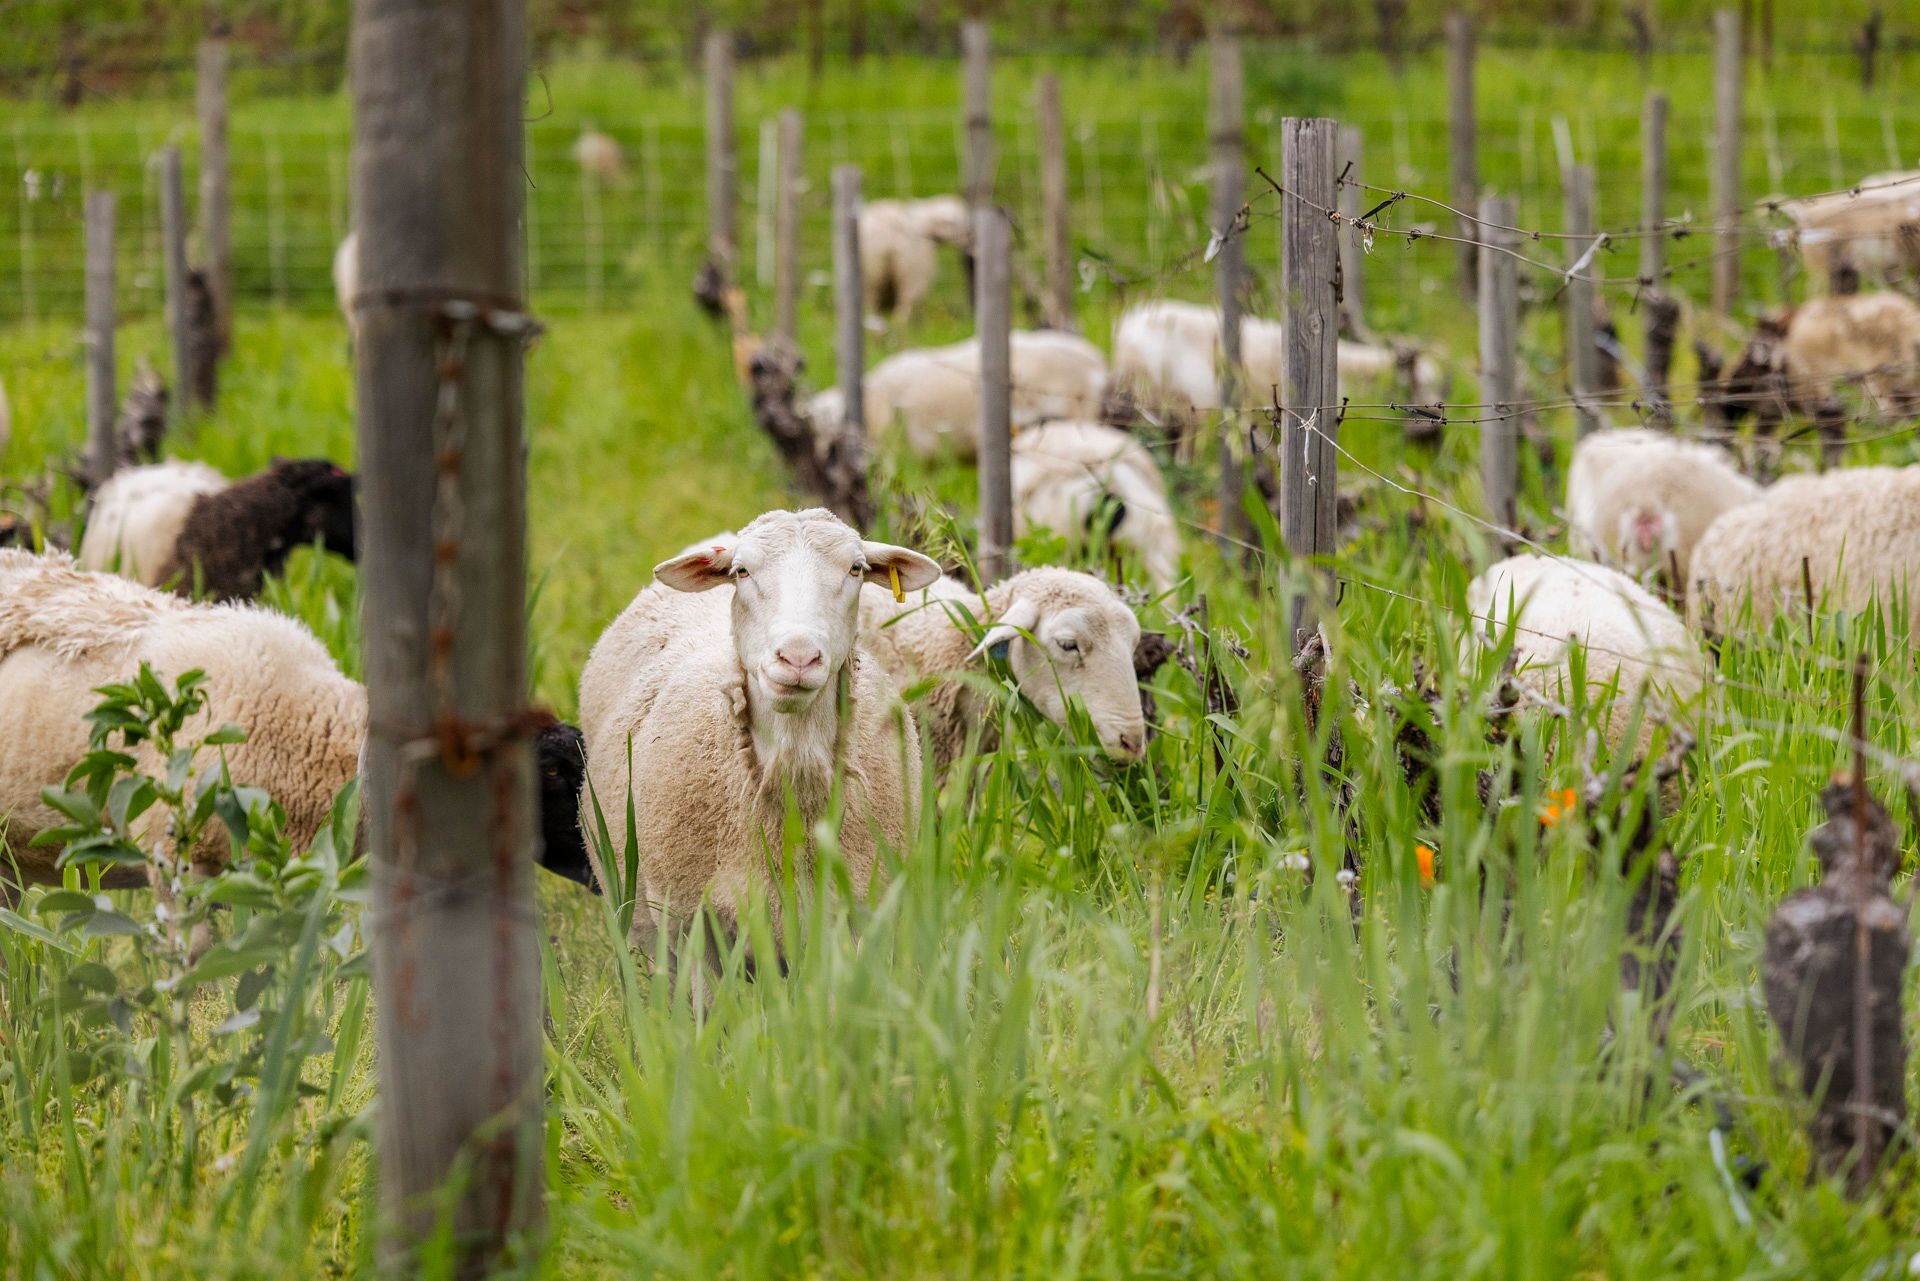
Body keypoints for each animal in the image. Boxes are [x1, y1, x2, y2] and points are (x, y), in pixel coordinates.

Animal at [859, 195, 970, 326]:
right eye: (957, 222)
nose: (969, 238)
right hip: (911, 271)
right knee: (905, 303)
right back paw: (902, 324)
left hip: (872, 273)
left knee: (873, 302)